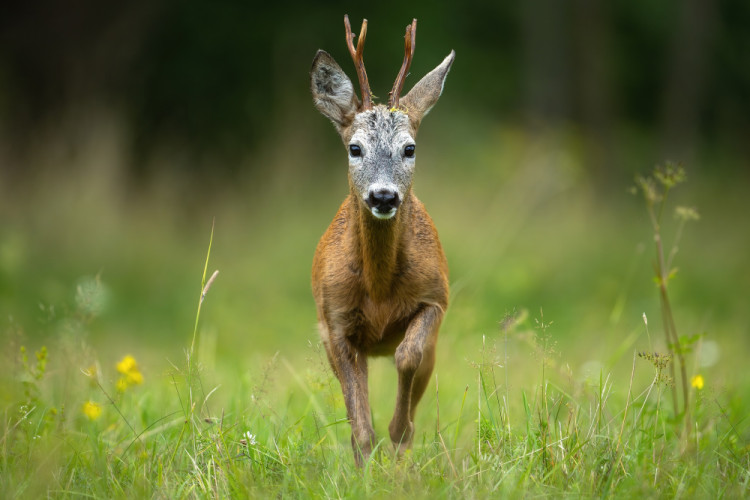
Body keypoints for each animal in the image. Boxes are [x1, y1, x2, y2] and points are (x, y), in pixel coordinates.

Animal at [312, 16, 456, 468]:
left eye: (409, 148)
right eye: (354, 148)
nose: (383, 196)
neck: (378, 290)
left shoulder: (436, 299)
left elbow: (407, 356)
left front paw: (400, 432)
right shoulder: (334, 322)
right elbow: (358, 421)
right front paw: (366, 460)